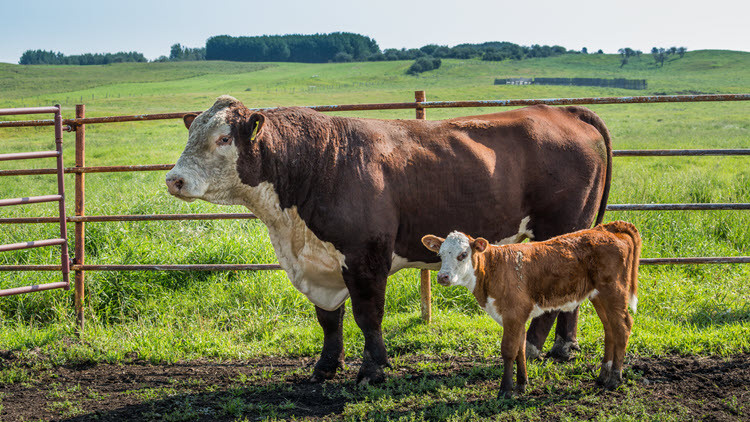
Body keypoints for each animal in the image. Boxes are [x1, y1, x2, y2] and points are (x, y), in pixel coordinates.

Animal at [165, 95, 612, 385]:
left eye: (224, 138)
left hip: (558, 228)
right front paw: (325, 367)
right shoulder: (319, 263)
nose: (174, 179)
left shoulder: (366, 257)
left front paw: (372, 370)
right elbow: (328, 319)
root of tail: (560, 110)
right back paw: (563, 347)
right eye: (190, 136)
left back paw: (535, 347)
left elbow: (368, 316)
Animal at [421, 221, 640, 397]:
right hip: (599, 296)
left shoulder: (513, 314)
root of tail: (606, 228)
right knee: (610, 330)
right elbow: (520, 348)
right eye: (440, 254)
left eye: (463, 254)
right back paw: (603, 376)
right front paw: (521, 384)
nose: (442, 277)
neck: (494, 269)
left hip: (613, 292)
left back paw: (615, 379)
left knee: (623, 328)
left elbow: (509, 350)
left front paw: (505, 390)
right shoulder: (517, 317)